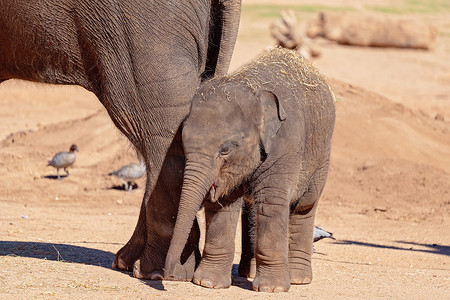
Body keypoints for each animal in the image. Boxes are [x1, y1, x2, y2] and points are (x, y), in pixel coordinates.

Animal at [164, 48, 334, 292]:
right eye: (183, 144)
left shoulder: (286, 146)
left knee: (305, 206)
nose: (168, 275)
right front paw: (209, 283)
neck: (250, 87)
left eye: (225, 149)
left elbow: (271, 203)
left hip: (321, 157)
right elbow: (224, 206)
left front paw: (272, 289)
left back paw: (299, 279)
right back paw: (249, 273)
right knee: (252, 211)